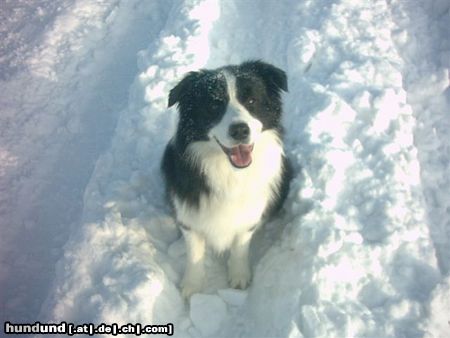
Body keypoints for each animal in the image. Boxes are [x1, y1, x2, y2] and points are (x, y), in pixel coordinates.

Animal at [162, 59, 292, 298]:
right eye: (214, 105)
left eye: (251, 100)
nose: (240, 130)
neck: (229, 171)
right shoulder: (188, 215)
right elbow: (194, 252)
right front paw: (192, 286)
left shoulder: (248, 216)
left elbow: (240, 246)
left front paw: (239, 276)